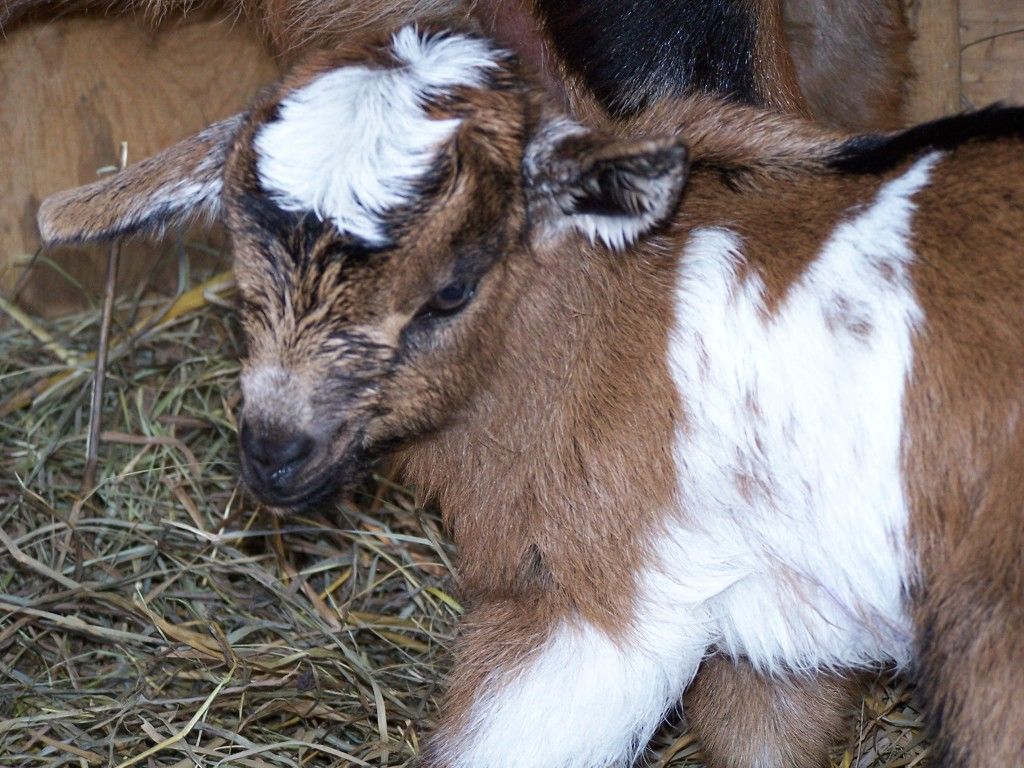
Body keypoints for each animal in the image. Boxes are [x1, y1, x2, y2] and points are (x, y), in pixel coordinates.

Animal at [36, 25, 1024, 768]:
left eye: (452, 290)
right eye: (241, 284)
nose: (274, 454)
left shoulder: (598, 588)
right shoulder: (776, 619)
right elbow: (762, 735)